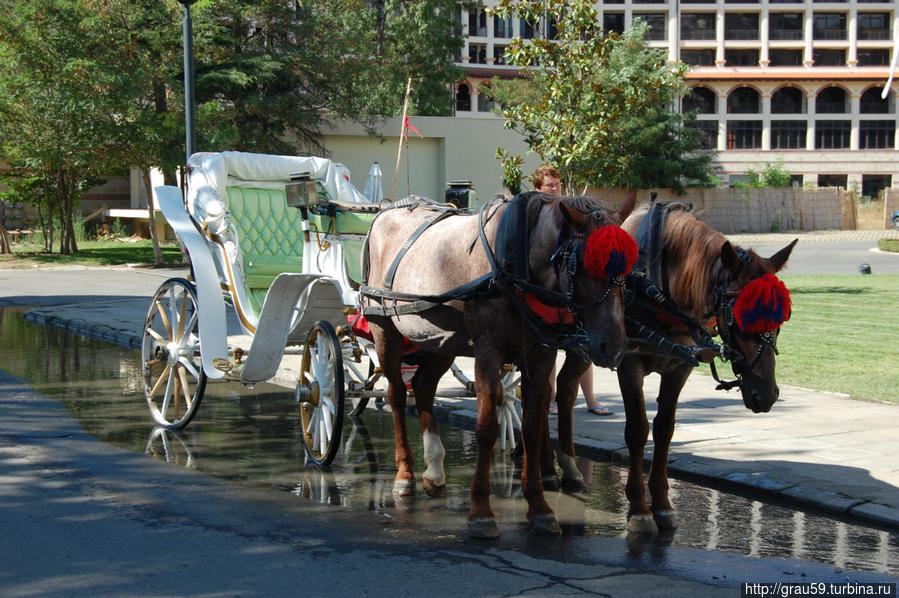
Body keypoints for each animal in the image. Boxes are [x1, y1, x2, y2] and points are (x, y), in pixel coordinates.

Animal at [362, 192, 636, 540]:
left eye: (628, 270)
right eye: (582, 264)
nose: (613, 347)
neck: (517, 267)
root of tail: (385, 212)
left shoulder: (540, 357)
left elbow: (532, 428)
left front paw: (540, 508)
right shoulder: (488, 353)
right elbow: (487, 428)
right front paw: (481, 511)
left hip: (440, 340)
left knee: (423, 388)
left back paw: (434, 470)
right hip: (384, 330)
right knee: (397, 395)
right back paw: (405, 476)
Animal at [552, 202, 800, 536]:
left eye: (782, 317)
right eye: (740, 317)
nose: (766, 394)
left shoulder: (679, 366)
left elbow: (665, 429)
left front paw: (662, 505)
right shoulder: (628, 362)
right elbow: (637, 430)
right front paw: (640, 509)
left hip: (587, 345)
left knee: (565, 389)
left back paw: (568, 468)